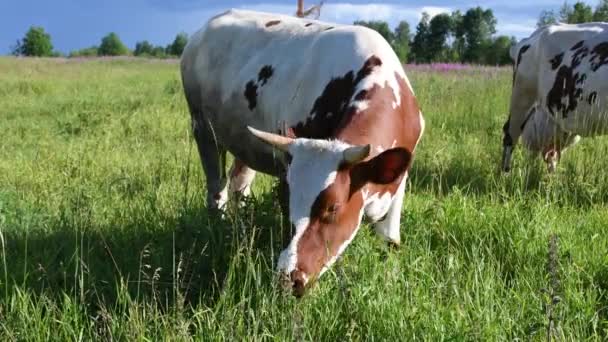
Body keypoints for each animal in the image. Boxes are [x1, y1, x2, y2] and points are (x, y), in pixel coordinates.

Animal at [180, 9, 422, 296]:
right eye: (287, 200)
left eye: (333, 207)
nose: (288, 279)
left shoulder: (399, 182)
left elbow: (390, 241)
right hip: (203, 130)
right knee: (216, 188)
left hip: (243, 141)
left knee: (239, 182)